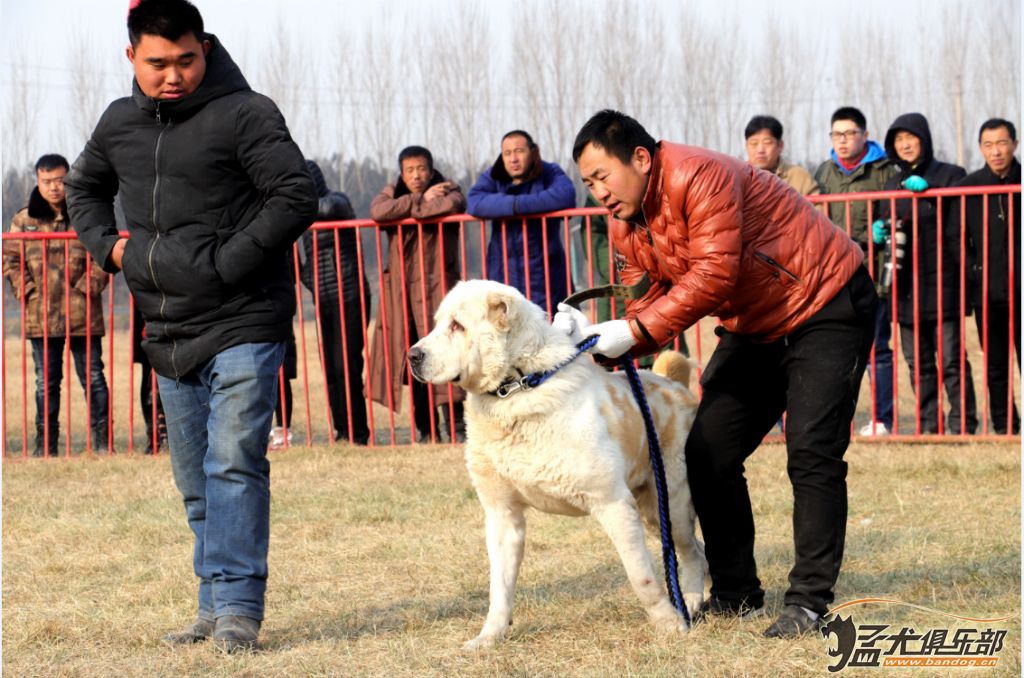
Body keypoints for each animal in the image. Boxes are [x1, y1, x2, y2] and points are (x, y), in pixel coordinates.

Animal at [407, 278, 704, 651]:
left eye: (457, 326)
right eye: (436, 324)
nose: (412, 355)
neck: (517, 388)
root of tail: (671, 383)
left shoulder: (613, 504)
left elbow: (642, 576)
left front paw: (669, 624)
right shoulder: (502, 516)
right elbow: (499, 587)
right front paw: (490, 637)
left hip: (671, 503)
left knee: (690, 550)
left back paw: (690, 600)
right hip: (652, 511)